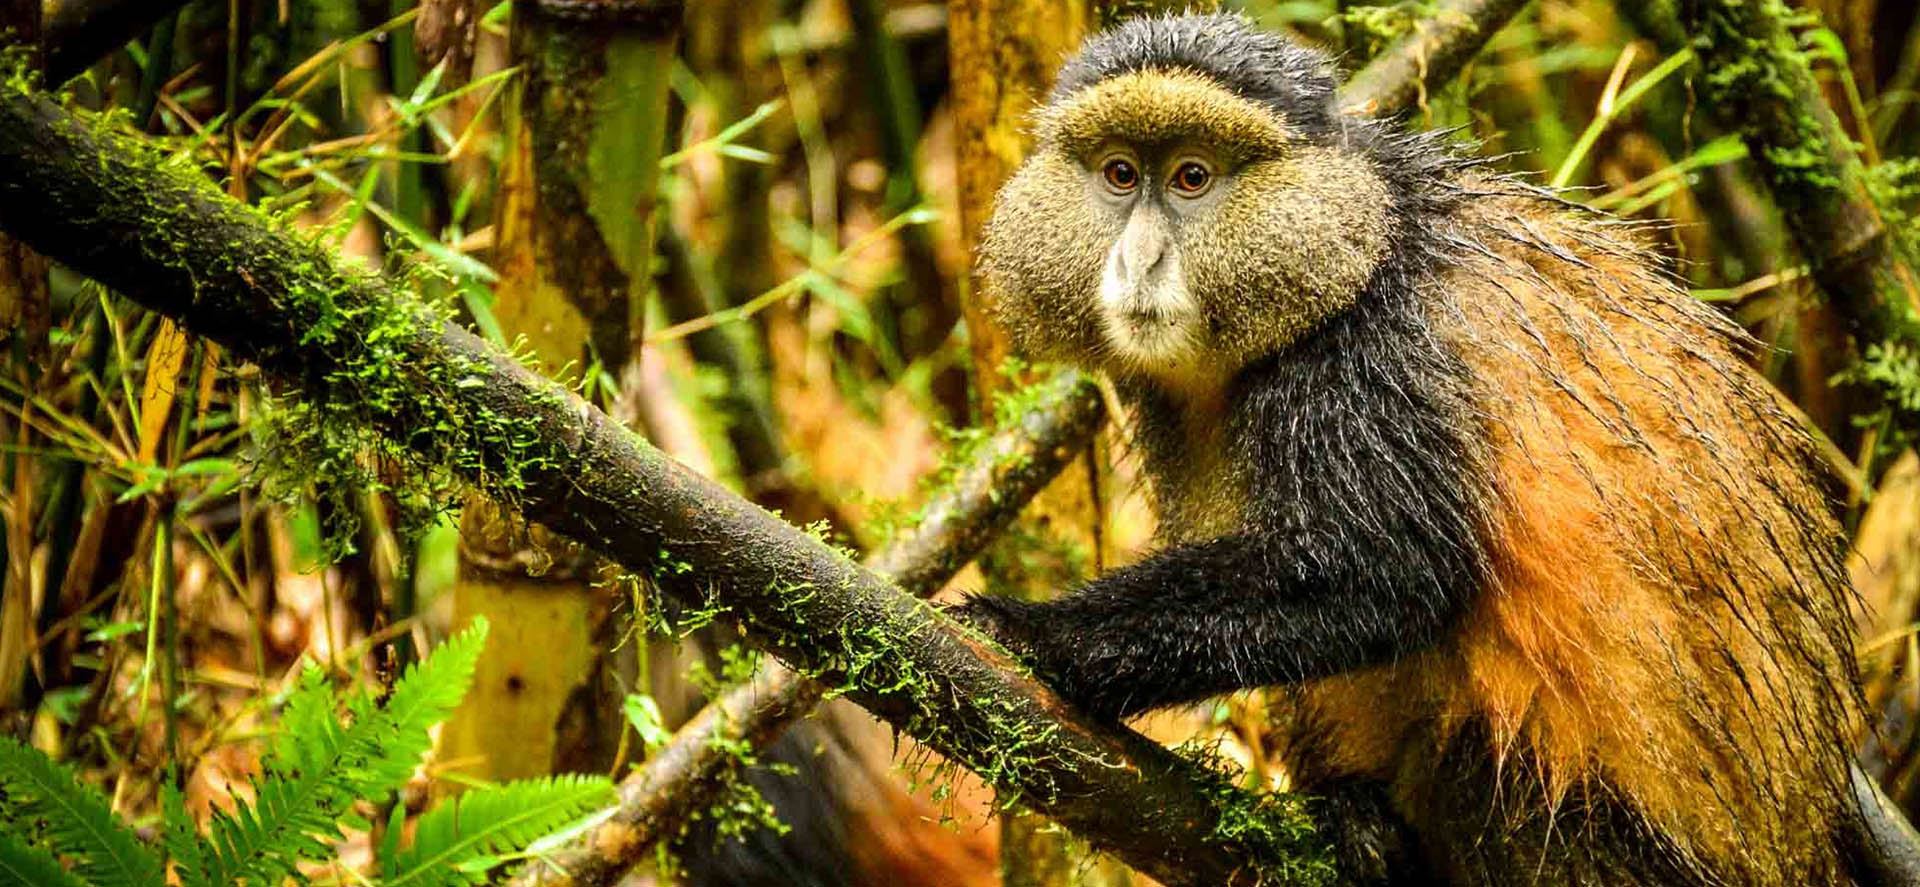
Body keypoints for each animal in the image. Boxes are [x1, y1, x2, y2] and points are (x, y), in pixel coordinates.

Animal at [951, 13, 1885, 885]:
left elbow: (1385, 573)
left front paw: (1032, 631)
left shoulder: (1372, 360)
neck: (1359, 237)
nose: (1139, 261)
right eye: (1119, 174)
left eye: (1192, 177)